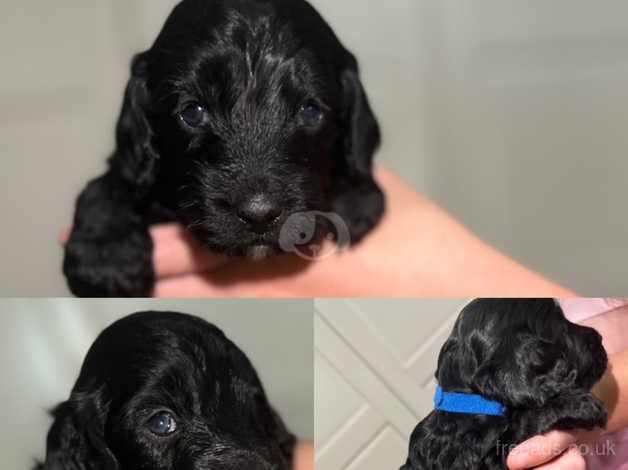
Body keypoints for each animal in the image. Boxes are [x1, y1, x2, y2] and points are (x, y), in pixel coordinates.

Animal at [66, 0, 386, 296]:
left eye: (309, 111)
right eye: (192, 112)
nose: (259, 214)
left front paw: (355, 196)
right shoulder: (133, 164)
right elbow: (108, 183)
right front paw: (106, 254)